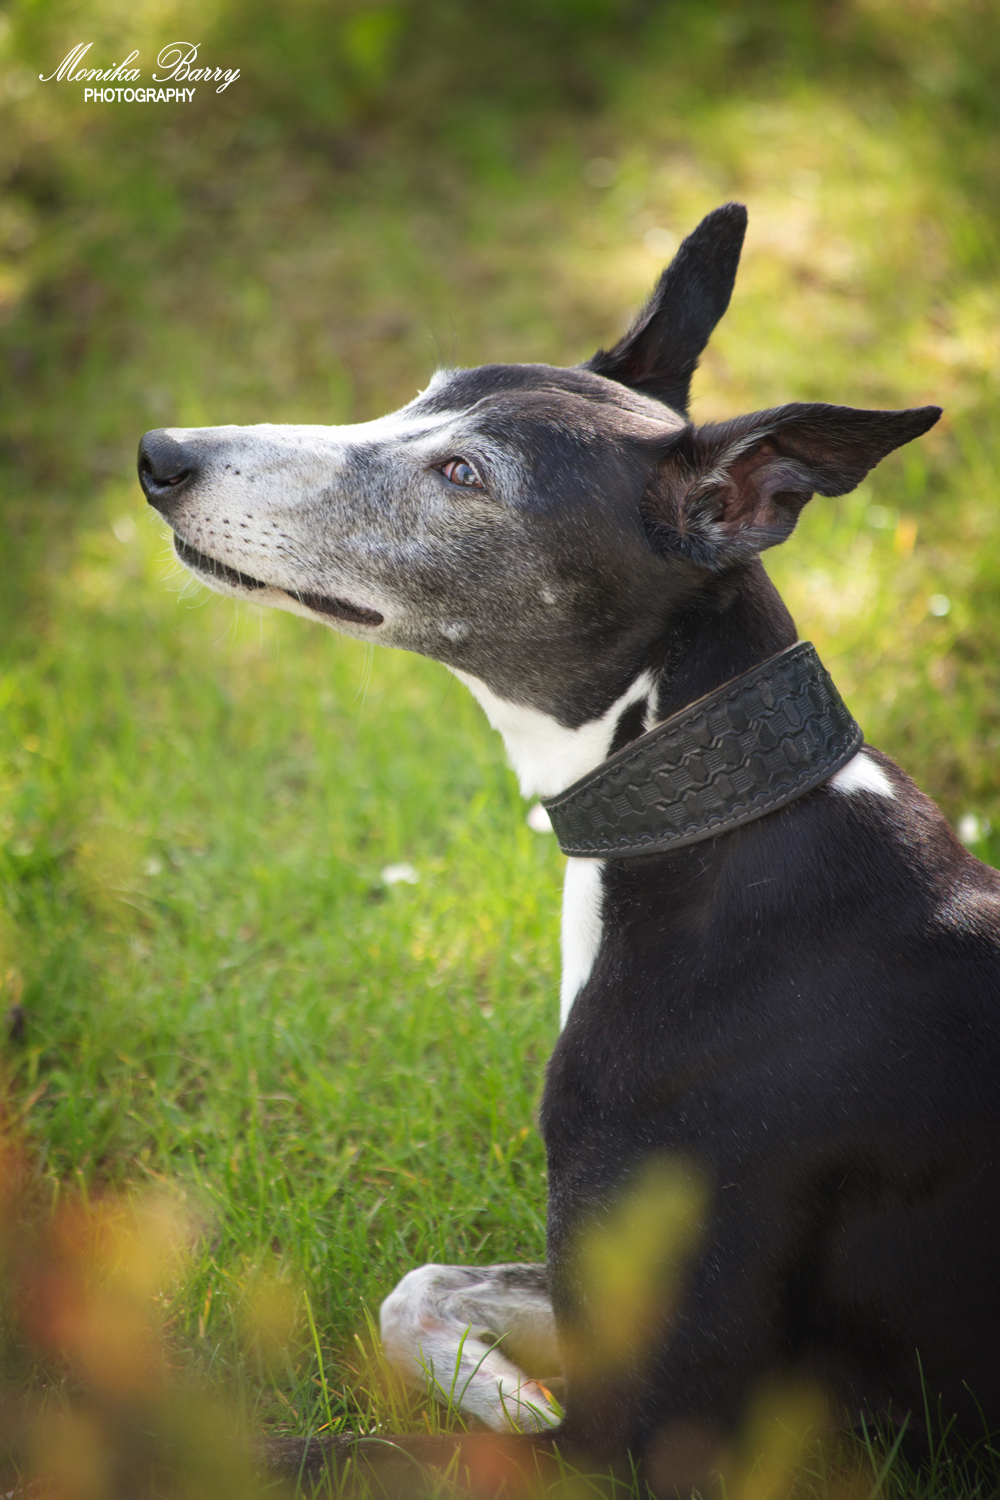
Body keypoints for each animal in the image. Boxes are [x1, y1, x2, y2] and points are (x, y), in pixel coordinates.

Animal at [138, 203, 1000, 1496]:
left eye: (463, 475)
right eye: (420, 396)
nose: (159, 456)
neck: (719, 826)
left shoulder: (636, 1443)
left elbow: (301, 1454)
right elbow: (414, 1288)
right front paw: (499, 1382)